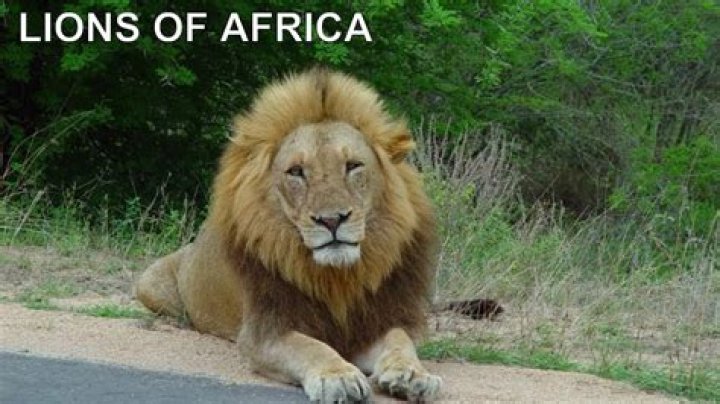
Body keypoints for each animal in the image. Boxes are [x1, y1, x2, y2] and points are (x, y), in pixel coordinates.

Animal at [135, 68, 442, 402]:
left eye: (353, 166)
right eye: (296, 171)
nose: (331, 220)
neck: (338, 279)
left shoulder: (374, 321)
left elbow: (400, 340)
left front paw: (412, 374)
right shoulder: (266, 331)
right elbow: (310, 347)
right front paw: (338, 376)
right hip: (149, 283)